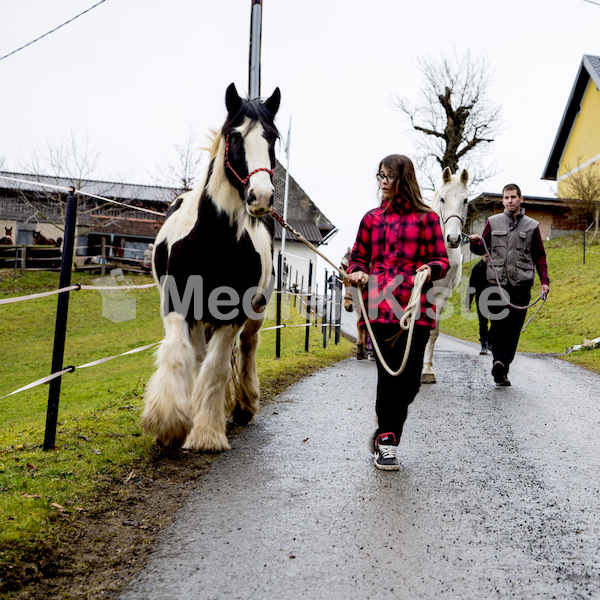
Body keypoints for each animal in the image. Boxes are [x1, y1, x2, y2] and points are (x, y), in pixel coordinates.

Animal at [143, 83, 282, 450]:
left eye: (273, 138)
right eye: (234, 136)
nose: (261, 197)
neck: (213, 241)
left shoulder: (232, 314)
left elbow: (217, 367)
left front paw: (206, 432)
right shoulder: (177, 304)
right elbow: (178, 355)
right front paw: (170, 423)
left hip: (256, 310)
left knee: (248, 346)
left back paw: (245, 404)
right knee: (197, 354)